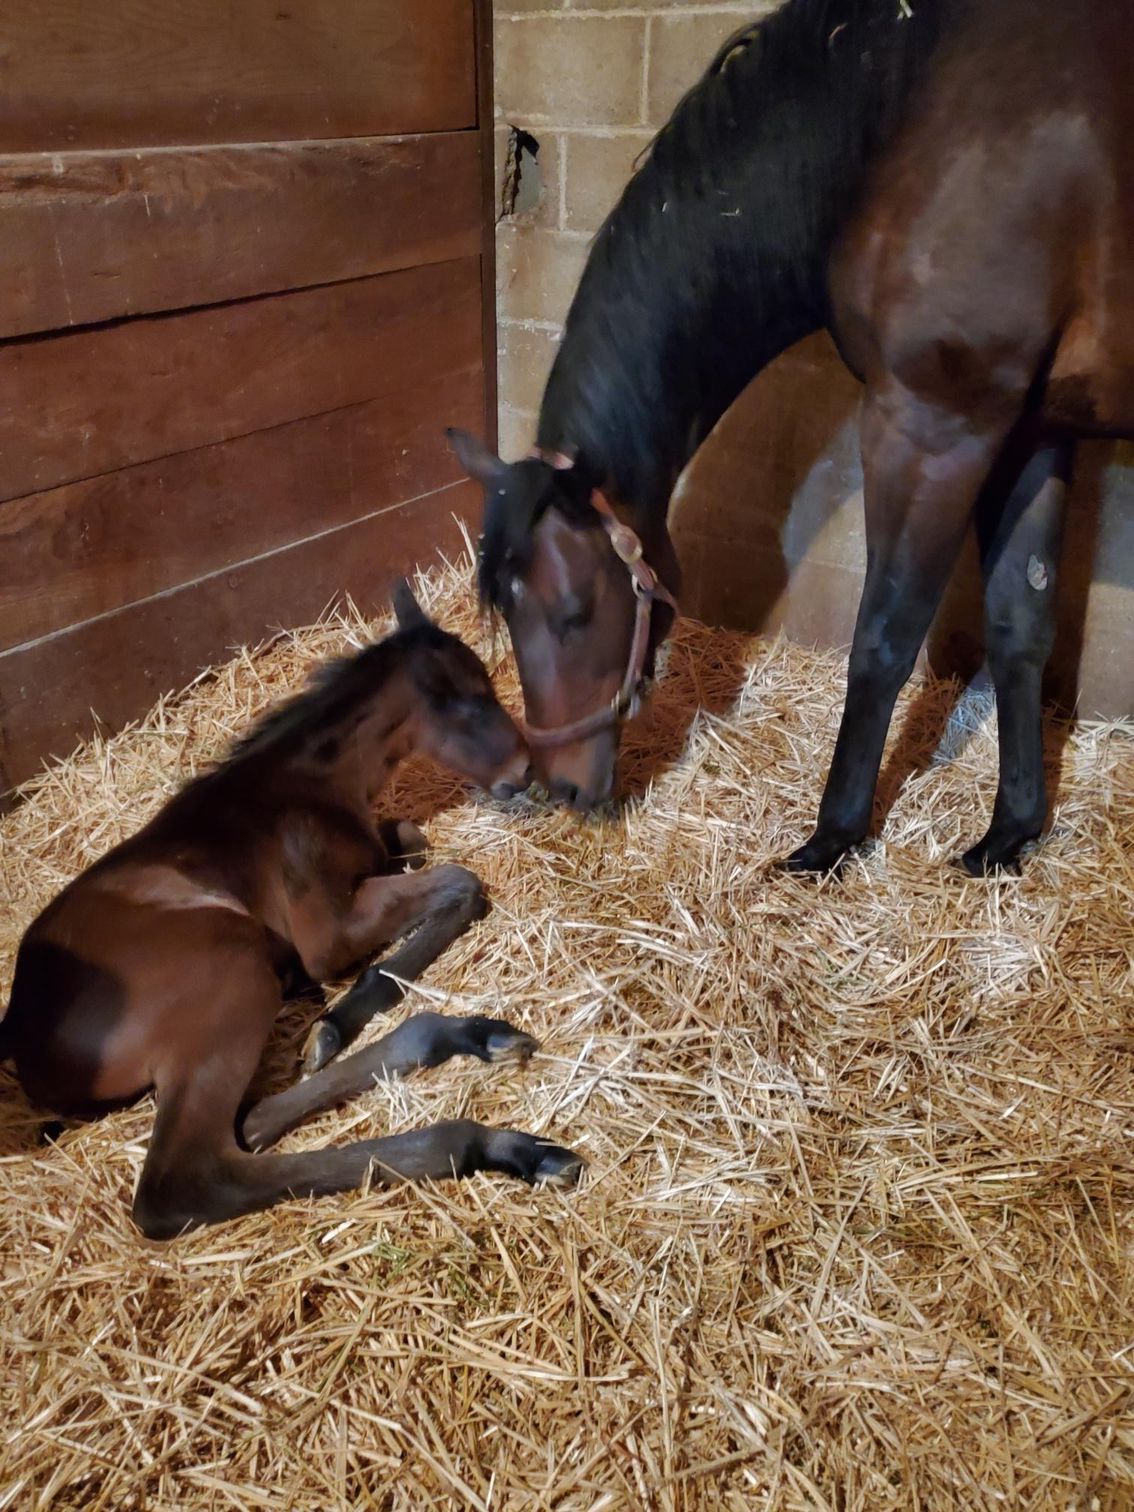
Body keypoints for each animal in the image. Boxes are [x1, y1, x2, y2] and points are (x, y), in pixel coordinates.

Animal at [0, 584, 583, 1239]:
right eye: (470, 705)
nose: (527, 771)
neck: (309, 784)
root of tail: (20, 1029)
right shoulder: (327, 931)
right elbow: (461, 882)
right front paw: (337, 1014)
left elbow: (412, 841)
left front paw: (329, 1019)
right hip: (230, 960)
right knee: (194, 1178)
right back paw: (497, 1143)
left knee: (252, 1121)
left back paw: (459, 1036)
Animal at [450, 0, 1132, 875]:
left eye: (573, 610)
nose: (559, 784)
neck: (898, 112)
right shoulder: (1032, 427)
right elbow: (1020, 627)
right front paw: (1010, 831)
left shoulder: (938, 427)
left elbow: (882, 638)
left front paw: (833, 836)